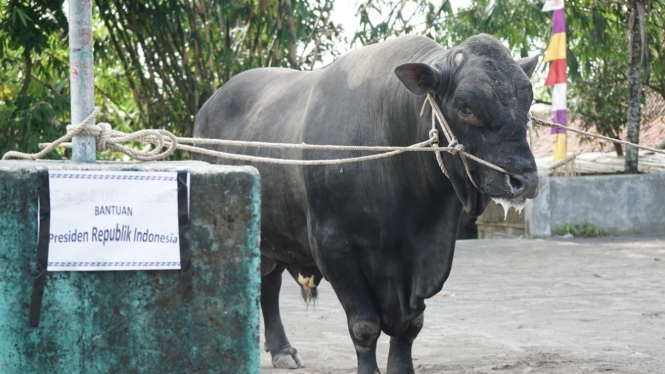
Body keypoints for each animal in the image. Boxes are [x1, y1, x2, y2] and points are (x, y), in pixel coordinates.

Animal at [192, 33, 540, 372]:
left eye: (528, 101)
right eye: (465, 107)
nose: (524, 181)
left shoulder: (426, 255)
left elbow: (411, 327)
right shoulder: (334, 249)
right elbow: (364, 326)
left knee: (269, 283)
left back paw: (282, 350)